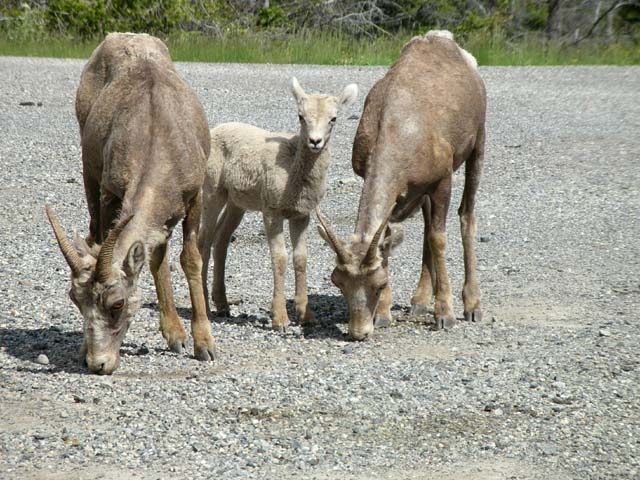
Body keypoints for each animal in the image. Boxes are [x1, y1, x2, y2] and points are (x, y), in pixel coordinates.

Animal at [45, 32, 216, 376]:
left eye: (117, 303)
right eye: (75, 299)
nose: (98, 363)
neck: (156, 136)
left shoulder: (195, 199)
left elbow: (191, 260)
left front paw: (204, 346)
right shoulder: (110, 194)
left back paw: (176, 337)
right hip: (89, 173)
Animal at [198, 79, 358, 332]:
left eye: (333, 118)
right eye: (301, 116)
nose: (315, 141)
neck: (294, 171)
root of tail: (215, 130)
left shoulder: (301, 215)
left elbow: (300, 259)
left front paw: (306, 316)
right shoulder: (272, 213)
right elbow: (280, 259)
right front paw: (280, 319)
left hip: (237, 202)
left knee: (221, 239)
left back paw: (222, 305)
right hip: (213, 192)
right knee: (204, 240)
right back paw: (204, 304)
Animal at [318, 31, 488, 342]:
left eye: (378, 284)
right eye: (339, 283)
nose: (359, 332)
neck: (400, 128)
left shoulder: (442, 180)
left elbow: (438, 239)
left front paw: (445, 315)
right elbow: (387, 239)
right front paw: (384, 316)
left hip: (477, 146)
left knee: (466, 215)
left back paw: (472, 305)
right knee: (426, 226)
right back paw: (419, 301)